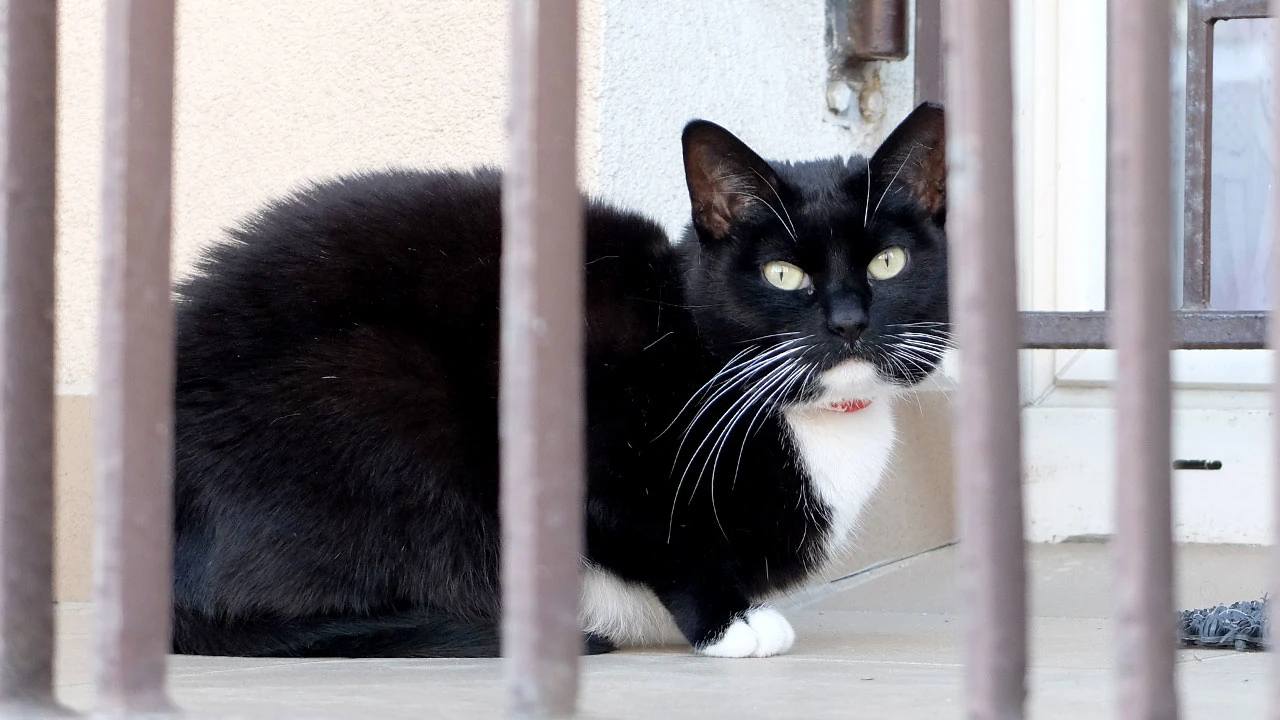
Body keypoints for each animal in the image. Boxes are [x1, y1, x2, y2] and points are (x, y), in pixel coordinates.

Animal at [170, 101, 949, 659]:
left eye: (887, 264)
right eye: (782, 273)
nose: (848, 321)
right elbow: (656, 535)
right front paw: (731, 621)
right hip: (380, 385)